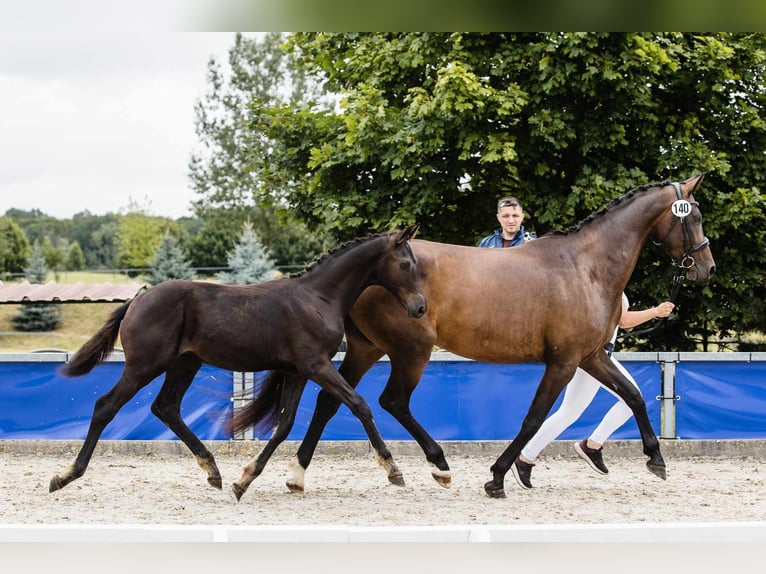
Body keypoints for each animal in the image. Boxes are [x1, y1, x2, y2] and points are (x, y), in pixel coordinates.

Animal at [51, 225, 428, 496]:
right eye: (405, 264)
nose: (420, 307)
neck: (318, 298)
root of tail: (137, 300)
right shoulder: (316, 366)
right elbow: (359, 404)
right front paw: (393, 469)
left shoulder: (297, 372)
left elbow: (284, 425)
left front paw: (243, 480)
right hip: (144, 366)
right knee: (106, 406)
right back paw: (66, 476)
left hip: (184, 364)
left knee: (166, 407)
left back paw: (213, 472)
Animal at [284, 176, 716, 500]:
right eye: (693, 215)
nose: (706, 268)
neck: (585, 267)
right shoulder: (563, 362)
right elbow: (533, 418)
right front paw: (497, 477)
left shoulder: (592, 356)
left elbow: (634, 396)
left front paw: (656, 460)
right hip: (411, 350)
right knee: (392, 401)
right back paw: (436, 466)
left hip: (367, 348)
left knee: (330, 402)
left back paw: (297, 475)